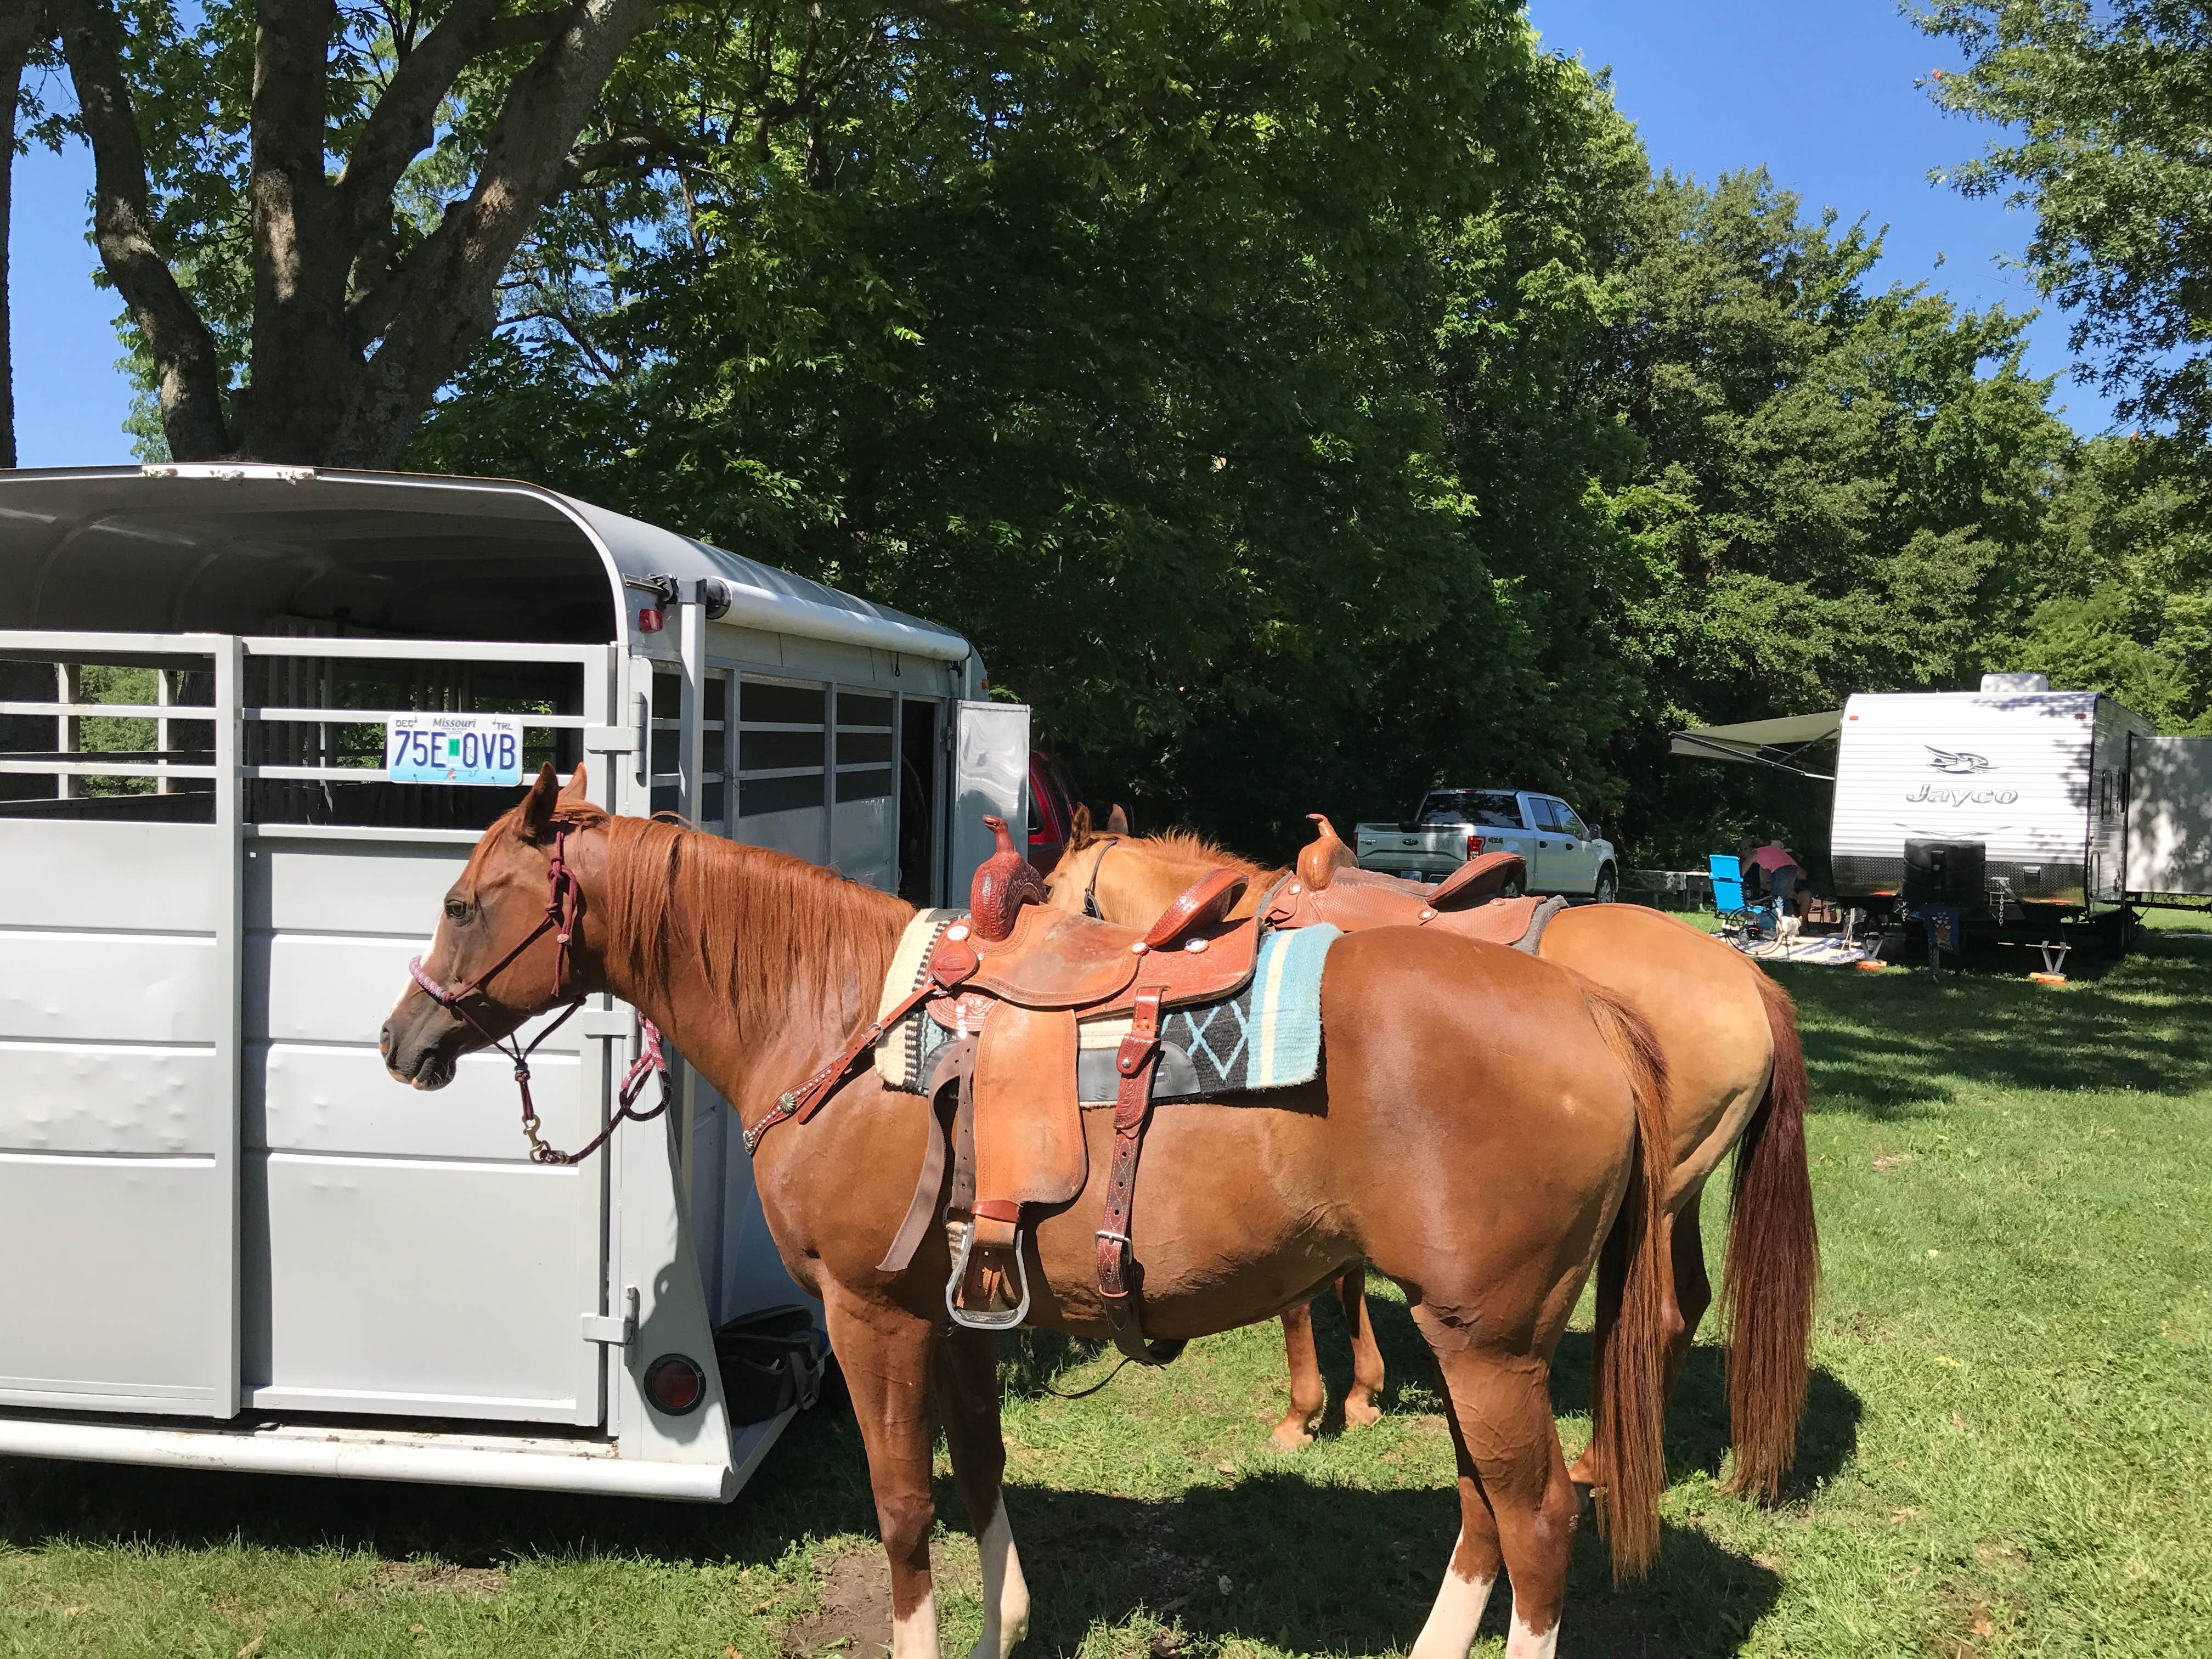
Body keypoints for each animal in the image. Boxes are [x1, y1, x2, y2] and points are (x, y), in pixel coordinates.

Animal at [383, 766, 1675, 1659]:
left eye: (462, 901)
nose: (401, 1041)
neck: (835, 1018)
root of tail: (1590, 1011)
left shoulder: (870, 1315)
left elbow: (903, 1504)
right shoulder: (956, 1310)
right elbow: (981, 1466)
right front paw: (1001, 1625)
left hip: (1488, 1343)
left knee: (1538, 1520)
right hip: (1475, 1339)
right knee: (1484, 1514)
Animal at [1043, 811, 1817, 1500]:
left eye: (1049, 883)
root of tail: (1751, 980)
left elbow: (1301, 1304)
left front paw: (1303, 1414)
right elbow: (1344, 1278)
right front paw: (1362, 1395)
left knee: (1654, 1317)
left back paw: (1600, 1461)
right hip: (1679, 1192)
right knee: (1687, 1307)